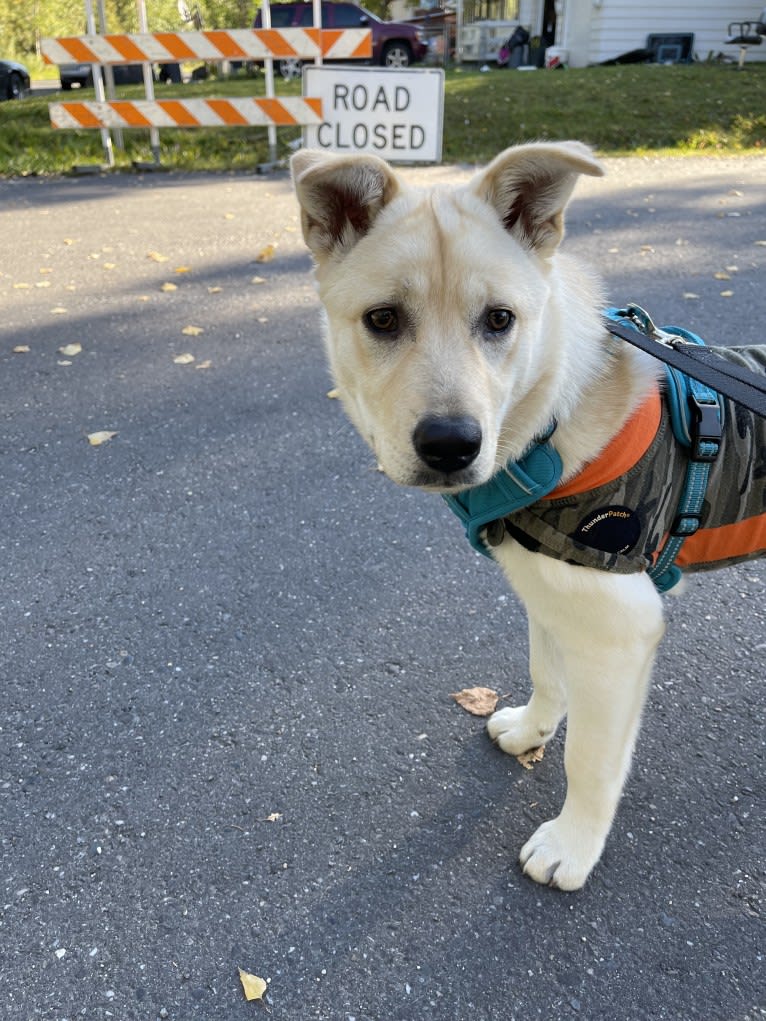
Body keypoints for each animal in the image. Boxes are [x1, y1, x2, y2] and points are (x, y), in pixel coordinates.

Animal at [290, 141, 763, 886]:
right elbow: (546, 672)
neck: (549, 426)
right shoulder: (548, 592)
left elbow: (591, 758)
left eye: (500, 320)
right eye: (383, 319)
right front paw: (529, 730)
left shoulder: (622, 631)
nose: (451, 445)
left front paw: (572, 844)